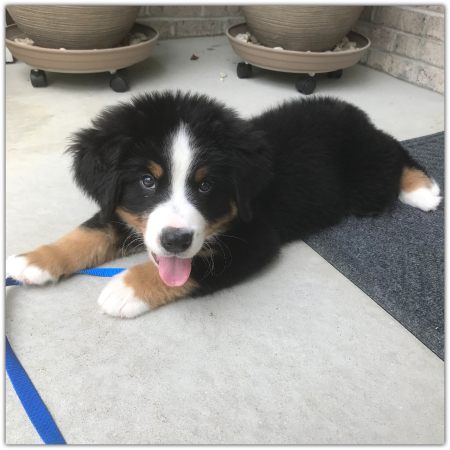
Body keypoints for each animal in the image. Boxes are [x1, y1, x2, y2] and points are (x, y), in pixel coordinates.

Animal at [6, 90, 442, 316]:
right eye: (147, 181)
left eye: (206, 186)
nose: (176, 241)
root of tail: (354, 114)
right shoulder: (122, 210)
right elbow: (88, 232)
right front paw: (35, 261)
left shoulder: (256, 238)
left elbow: (199, 267)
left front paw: (126, 288)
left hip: (366, 179)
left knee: (394, 149)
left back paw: (422, 189)